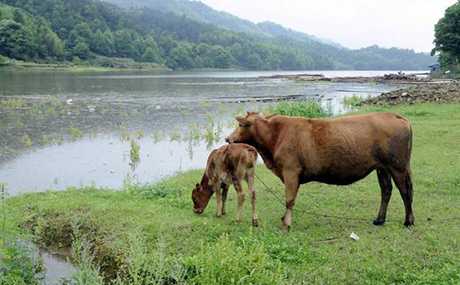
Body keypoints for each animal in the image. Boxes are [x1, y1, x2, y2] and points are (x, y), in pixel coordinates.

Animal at [226, 111, 414, 231]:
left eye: (241, 124)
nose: (228, 138)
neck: (275, 137)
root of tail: (396, 116)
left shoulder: (290, 171)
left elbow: (289, 200)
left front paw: (286, 223)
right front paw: (284, 219)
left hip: (398, 166)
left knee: (405, 191)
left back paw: (408, 221)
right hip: (382, 168)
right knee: (386, 190)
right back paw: (379, 220)